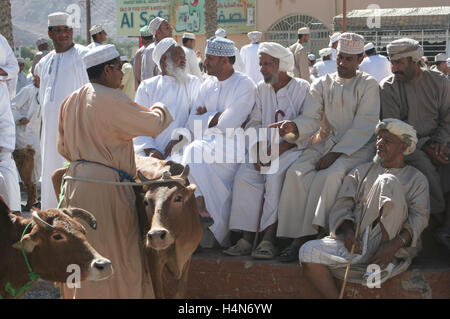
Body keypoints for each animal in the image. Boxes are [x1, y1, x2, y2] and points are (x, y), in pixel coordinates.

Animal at [135, 157, 202, 300]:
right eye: (145, 202)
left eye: (178, 198)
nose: (156, 235)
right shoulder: (154, 258)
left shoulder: (187, 256)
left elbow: (180, 292)